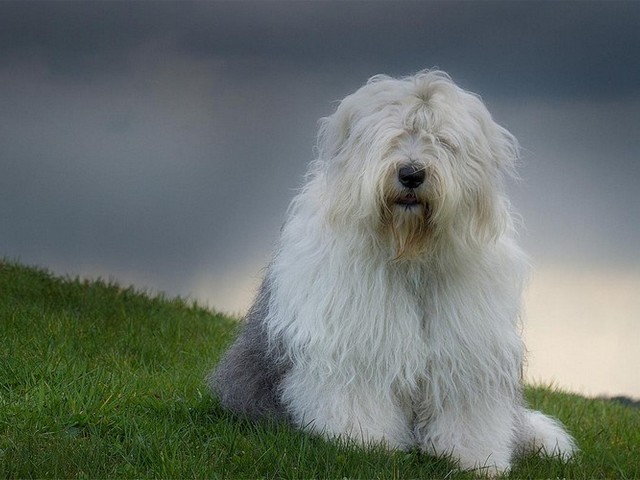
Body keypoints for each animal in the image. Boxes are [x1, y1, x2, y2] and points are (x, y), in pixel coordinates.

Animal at [209, 69, 576, 474]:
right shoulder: (356, 341)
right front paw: (364, 444)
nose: (411, 174)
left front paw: (476, 461)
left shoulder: (466, 351)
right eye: (392, 135)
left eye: (442, 140)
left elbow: (466, 408)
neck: (409, 253)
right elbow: (359, 394)